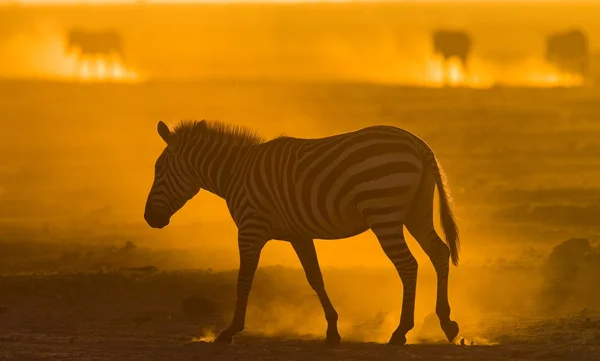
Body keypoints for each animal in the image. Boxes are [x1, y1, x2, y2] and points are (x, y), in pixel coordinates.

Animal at [144, 119, 460, 344]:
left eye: (158, 169)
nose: (149, 218)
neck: (236, 172)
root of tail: (416, 143)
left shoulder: (250, 229)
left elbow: (244, 279)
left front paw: (231, 330)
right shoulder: (299, 234)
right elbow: (315, 278)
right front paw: (332, 330)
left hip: (385, 214)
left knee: (408, 265)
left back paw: (401, 331)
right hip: (416, 212)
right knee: (439, 253)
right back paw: (446, 323)